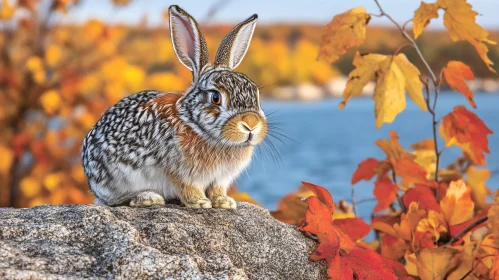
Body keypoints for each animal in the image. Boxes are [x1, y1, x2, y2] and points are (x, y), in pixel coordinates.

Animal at [83, 5, 266, 209]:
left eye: (256, 93)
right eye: (215, 97)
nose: (251, 124)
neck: (195, 125)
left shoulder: (220, 179)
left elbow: (217, 190)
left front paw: (224, 202)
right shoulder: (180, 172)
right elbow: (187, 187)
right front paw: (200, 202)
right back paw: (148, 197)